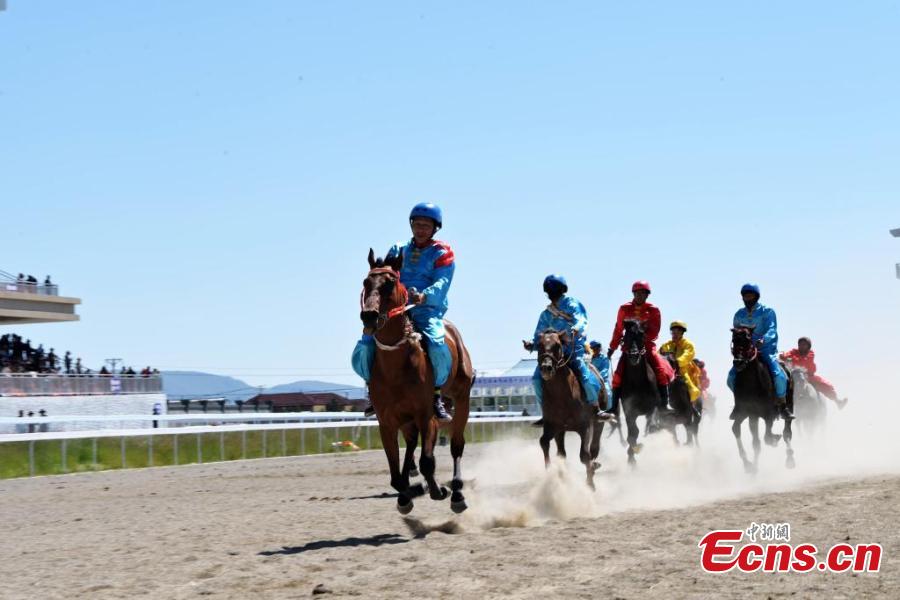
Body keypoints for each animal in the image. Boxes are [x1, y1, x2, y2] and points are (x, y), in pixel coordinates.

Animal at [360, 249, 475, 514]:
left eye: (390, 283)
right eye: (366, 282)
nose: (368, 316)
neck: (395, 368)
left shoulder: (425, 413)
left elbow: (428, 460)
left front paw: (438, 490)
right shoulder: (387, 421)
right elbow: (396, 473)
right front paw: (405, 496)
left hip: (461, 396)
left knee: (456, 444)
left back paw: (456, 492)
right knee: (412, 446)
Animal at [532, 329, 608, 490]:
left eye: (557, 345)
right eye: (539, 345)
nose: (546, 367)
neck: (561, 396)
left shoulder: (585, 426)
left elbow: (584, 455)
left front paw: (590, 484)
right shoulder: (552, 426)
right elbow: (544, 442)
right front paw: (551, 473)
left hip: (598, 423)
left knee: (594, 448)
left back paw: (594, 465)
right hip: (561, 431)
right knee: (561, 452)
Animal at [618, 319, 664, 466]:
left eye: (642, 335)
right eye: (626, 336)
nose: (634, 356)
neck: (638, 383)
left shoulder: (653, 407)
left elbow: (652, 425)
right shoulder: (629, 411)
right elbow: (632, 433)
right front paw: (632, 457)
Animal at [730, 326, 795, 473]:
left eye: (748, 340)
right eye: (734, 340)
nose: (738, 362)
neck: (751, 384)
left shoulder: (768, 414)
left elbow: (766, 438)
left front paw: (774, 439)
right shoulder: (748, 413)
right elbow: (749, 438)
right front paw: (749, 466)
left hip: (789, 404)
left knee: (787, 432)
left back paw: (790, 459)